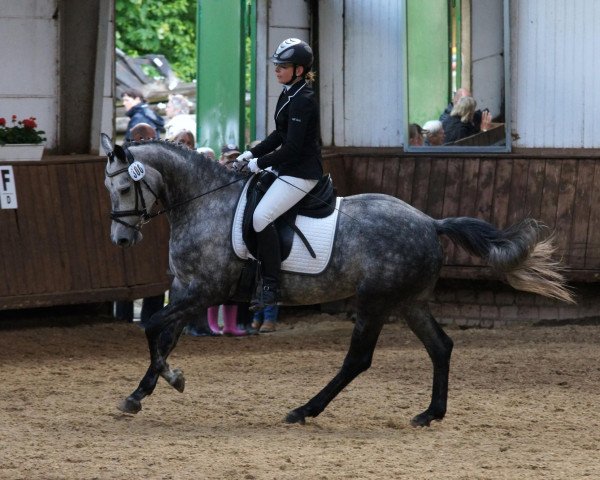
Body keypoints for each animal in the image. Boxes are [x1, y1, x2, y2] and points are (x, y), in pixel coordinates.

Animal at [99, 135, 572, 428]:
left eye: (123, 188)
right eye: (109, 190)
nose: (120, 239)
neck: (203, 204)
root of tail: (430, 222)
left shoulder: (206, 291)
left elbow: (152, 327)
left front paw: (171, 379)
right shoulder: (187, 289)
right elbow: (164, 335)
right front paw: (141, 392)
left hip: (375, 302)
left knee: (358, 360)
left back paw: (304, 410)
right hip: (409, 302)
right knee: (441, 347)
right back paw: (429, 414)